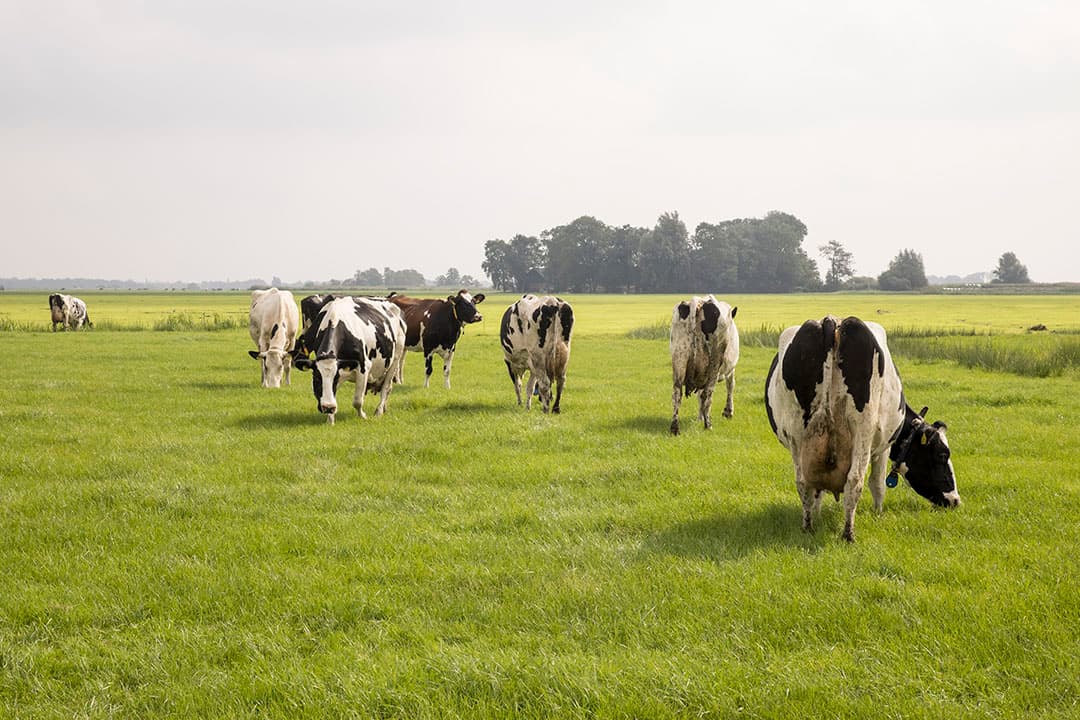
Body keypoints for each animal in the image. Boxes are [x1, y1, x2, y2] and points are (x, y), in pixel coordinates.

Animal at [293, 296, 406, 425]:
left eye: (335, 378)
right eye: (316, 378)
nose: (328, 407)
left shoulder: (363, 366)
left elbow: (357, 400)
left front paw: (363, 416)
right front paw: (330, 420)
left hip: (395, 358)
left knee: (386, 388)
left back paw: (379, 411)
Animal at [669, 295, 740, 435]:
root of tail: (699, 302)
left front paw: (699, 417)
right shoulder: (730, 370)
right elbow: (730, 386)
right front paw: (728, 412)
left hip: (679, 358)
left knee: (677, 394)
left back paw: (675, 428)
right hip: (714, 363)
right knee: (707, 394)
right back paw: (708, 425)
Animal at [764, 315, 959, 542]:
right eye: (942, 455)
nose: (955, 500)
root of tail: (832, 321)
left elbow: (817, 492)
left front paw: (818, 516)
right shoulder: (883, 448)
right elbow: (878, 484)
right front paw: (878, 515)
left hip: (797, 434)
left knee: (804, 482)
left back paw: (808, 527)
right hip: (863, 429)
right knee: (855, 480)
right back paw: (848, 534)